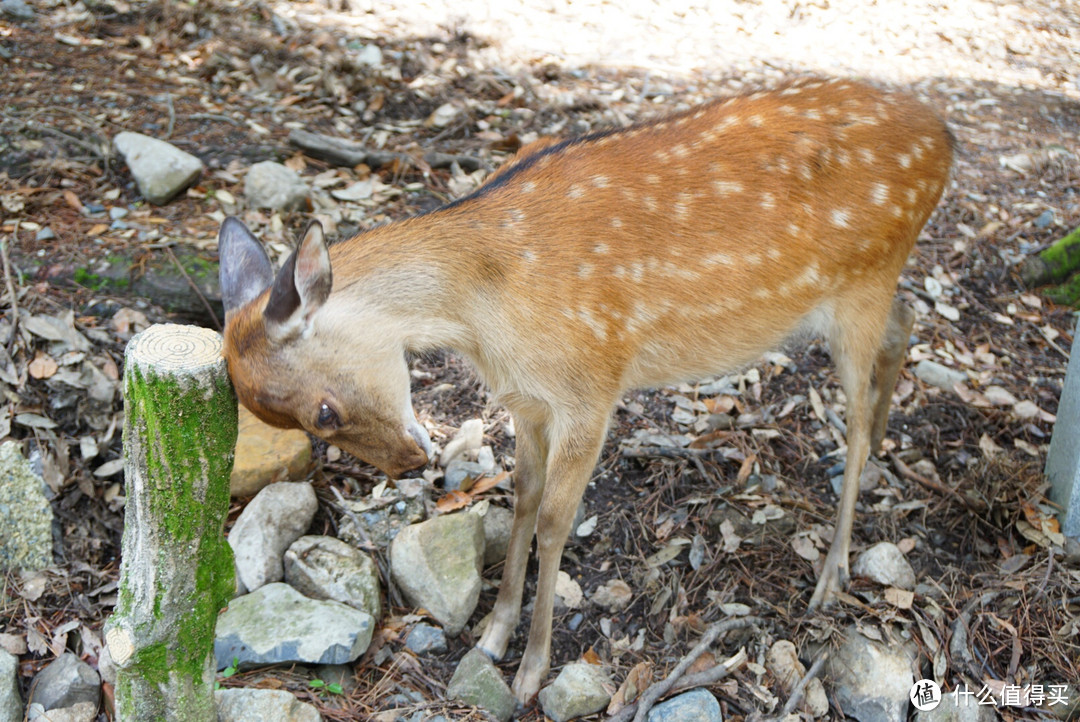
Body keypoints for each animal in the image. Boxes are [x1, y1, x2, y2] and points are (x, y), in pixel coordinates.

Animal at [217, 78, 954, 703]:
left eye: (322, 411)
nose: (409, 463)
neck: (487, 315)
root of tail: (944, 137)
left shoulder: (592, 387)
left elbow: (553, 520)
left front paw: (531, 672)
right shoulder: (527, 399)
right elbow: (521, 498)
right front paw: (492, 635)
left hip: (863, 280)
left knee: (854, 419)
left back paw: (833, 574)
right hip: (867, 292)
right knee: (906, 323)